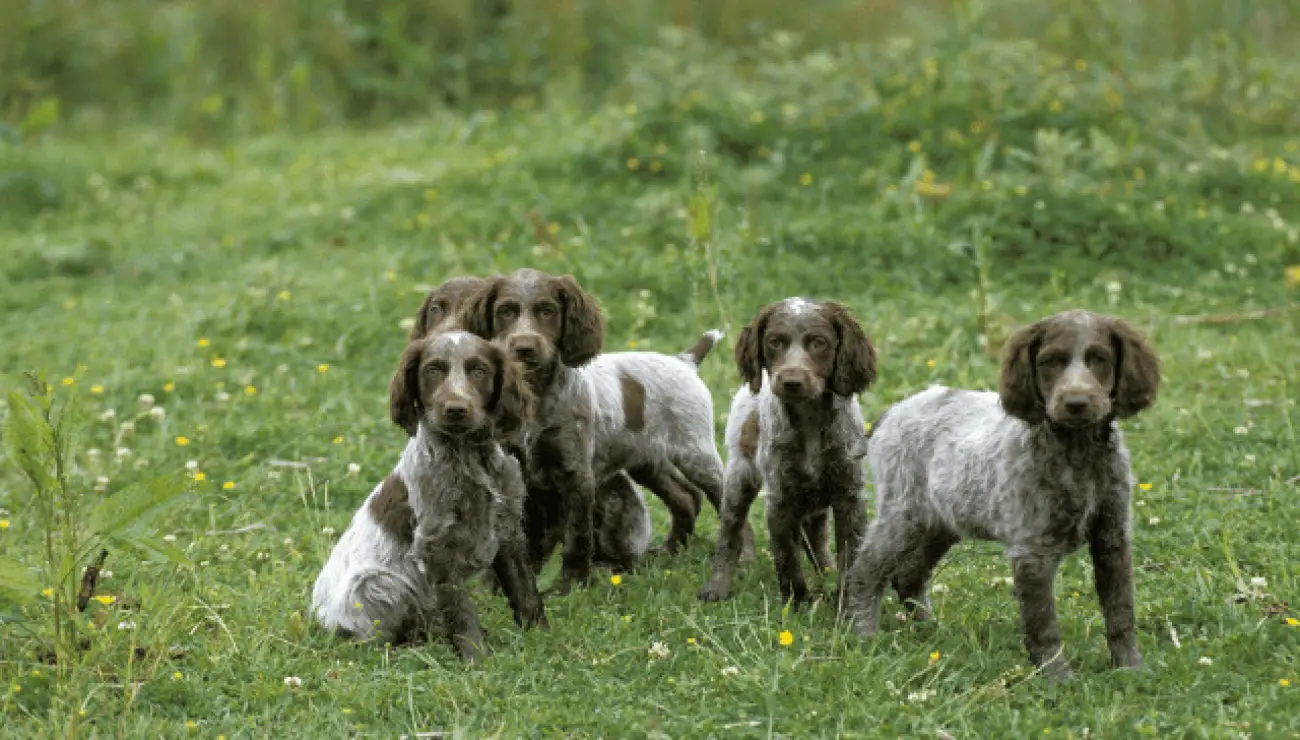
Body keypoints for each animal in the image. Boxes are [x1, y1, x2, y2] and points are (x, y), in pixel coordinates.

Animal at [312, 329, 546, 658]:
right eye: (433, 370)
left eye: (479, 370)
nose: (456, 410)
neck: (468, 455)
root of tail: (318, 618)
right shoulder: (438, 545)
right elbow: (461, 610)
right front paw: (476, 657)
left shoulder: (508, 530)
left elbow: (525, 591)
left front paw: (542, 637)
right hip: (375, 582)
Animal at [696, 297, 878, 608]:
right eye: (774, 342)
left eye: (819, 342)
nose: (791, 381)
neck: (810, 420)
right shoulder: (780, 498)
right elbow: (787, 557)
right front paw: (798, 605)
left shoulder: (849, 496)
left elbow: (849, 556)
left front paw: (846, 607)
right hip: (739, 479)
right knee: (729, 536)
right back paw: (717, 586)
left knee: (817, 539)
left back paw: (827, 574)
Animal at [847, 308, 1164, 676]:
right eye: (1050, 362)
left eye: (1100, 359)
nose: (1076, 403)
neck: (1077, 450)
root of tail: (891, 412)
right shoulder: (1032, 550)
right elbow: (1042, 623)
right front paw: (1057, 677)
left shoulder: (1112, 537)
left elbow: (1121, 610)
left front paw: (1130, 669)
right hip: (903, 513)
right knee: (865, 571)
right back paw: (864, 634)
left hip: (940, 520)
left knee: (910, 574)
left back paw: (929, 630)